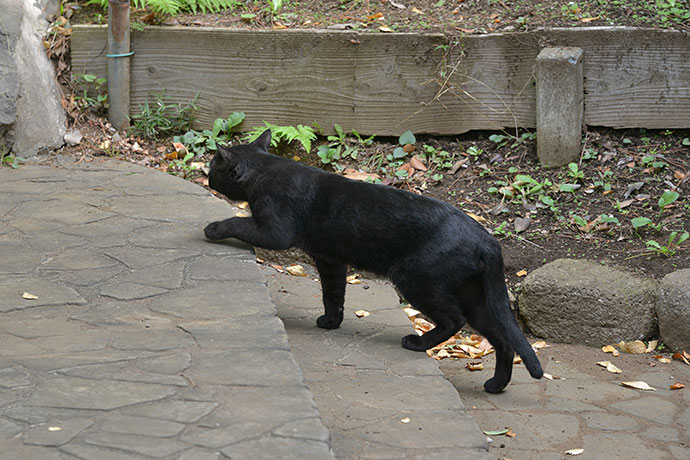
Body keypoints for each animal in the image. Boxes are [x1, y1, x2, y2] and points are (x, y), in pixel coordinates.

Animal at [204, 130, 544, 396]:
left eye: (212, 166)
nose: (207, 176)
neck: (265, 168)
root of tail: (487, 240)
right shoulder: (330, 259)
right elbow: (333, 294)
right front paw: (331, 322)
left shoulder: (275, 232)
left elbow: (238, 221)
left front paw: (213, 228)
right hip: (474, 296)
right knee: (502, 338)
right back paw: (495, 385)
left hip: (415, 279)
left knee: (453, 319)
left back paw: (417, 343)